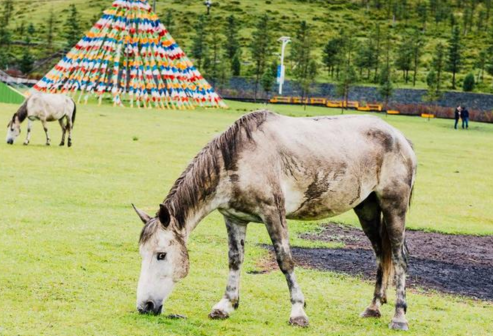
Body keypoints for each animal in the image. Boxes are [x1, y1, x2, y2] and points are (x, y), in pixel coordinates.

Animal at [131, 110, 416, 330]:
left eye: (161, 255)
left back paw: (399, 317)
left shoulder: (273, 214)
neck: (240, 158)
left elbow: (285, 261)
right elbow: (235, 261)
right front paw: (225, 305)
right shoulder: (234, 219)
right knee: (381, 252)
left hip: (394, 206)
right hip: (366, 208)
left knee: (399, 256)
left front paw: (298, 312)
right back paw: (373, 307)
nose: (145, 306)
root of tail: (400, 138)